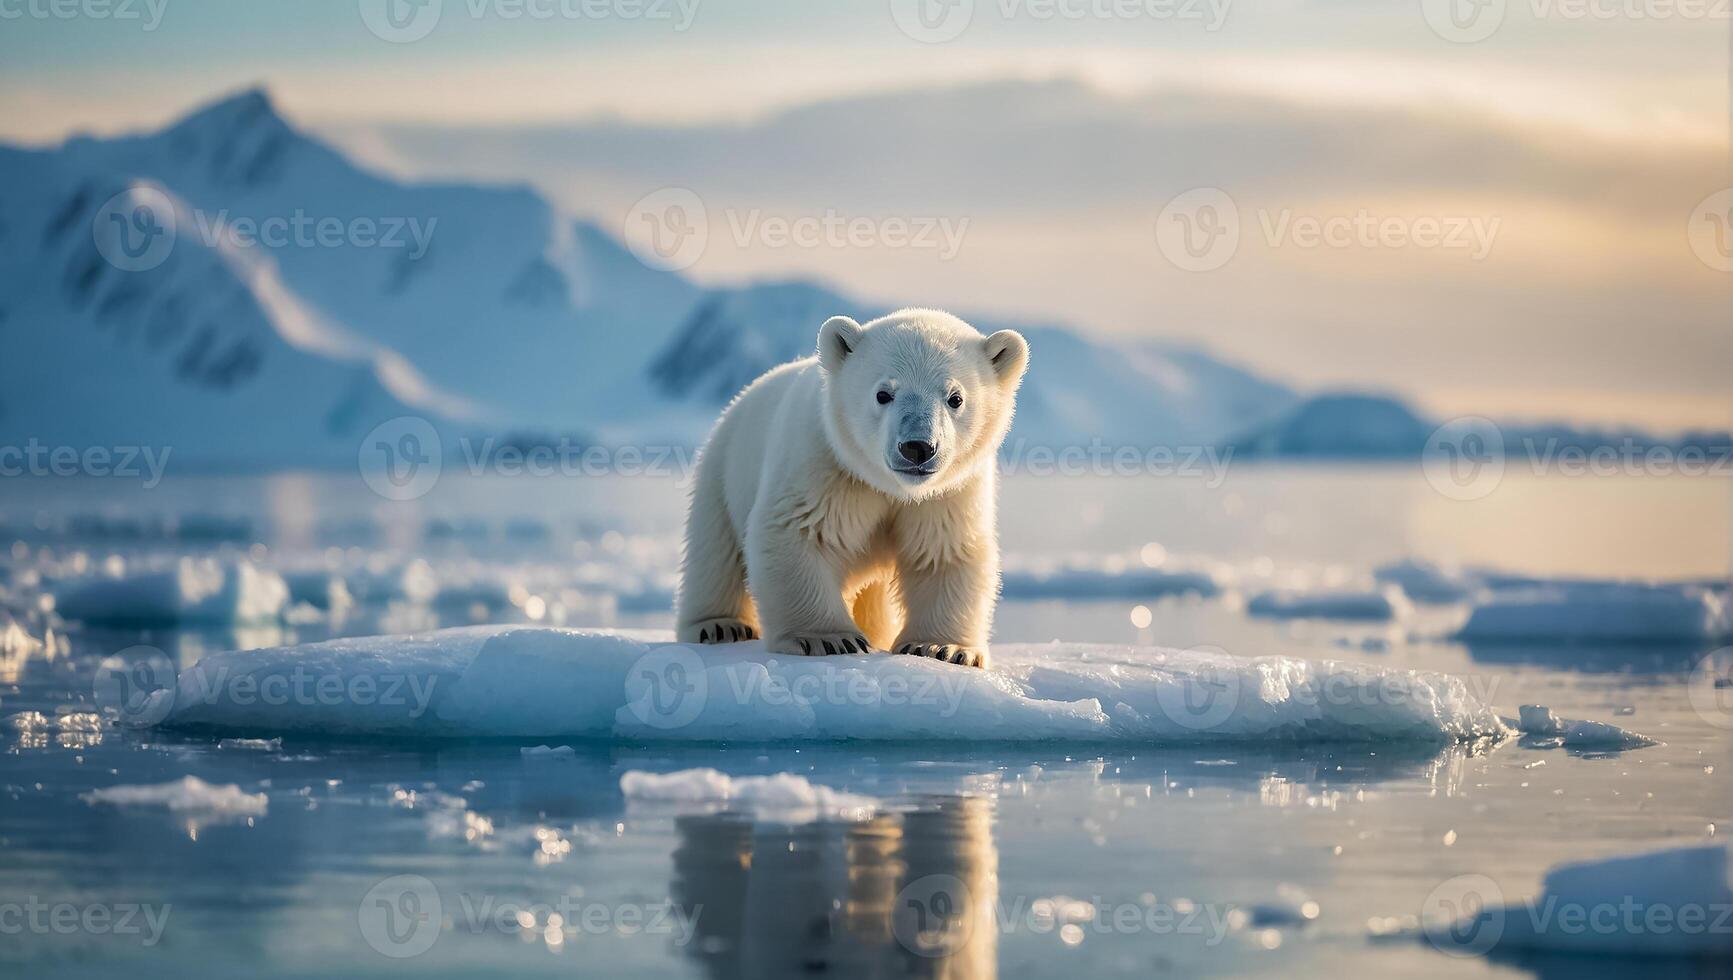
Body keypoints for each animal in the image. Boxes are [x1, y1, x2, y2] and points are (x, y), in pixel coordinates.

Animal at [672, 308, 1025, 669]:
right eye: (883, 394)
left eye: (955, 398)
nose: (917, 447)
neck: (891, 487)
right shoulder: (824, 464)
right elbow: (797, 532)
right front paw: (826, 639)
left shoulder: (949, 493)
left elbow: (944, 550)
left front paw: (941, 647)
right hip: (723, 470)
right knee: (715, 551)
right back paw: (719, 626)